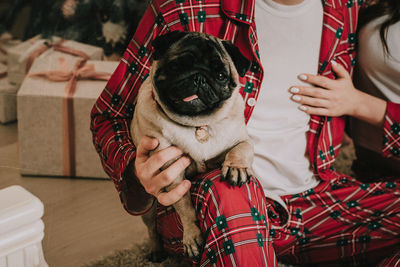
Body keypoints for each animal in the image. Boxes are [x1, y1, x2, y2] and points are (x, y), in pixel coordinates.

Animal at [132, 30, 253, 262]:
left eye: (221, 76)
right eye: (177, 66)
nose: (199, 77)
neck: (197, 124)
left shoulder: (241, 138)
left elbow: (242, 148)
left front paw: (236, 168)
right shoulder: (171, 170)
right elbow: (184, 205)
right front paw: (192, 236)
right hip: (149, 210)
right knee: (152, 229)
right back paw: (156, 251)